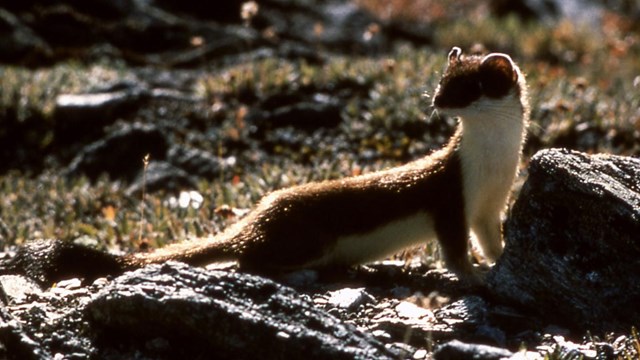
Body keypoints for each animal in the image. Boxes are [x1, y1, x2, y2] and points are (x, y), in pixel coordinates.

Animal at [122, 47, 528, 282]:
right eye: (443, 81)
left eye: (469, 87)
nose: (438, 101)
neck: (492, 168)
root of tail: (258, 214)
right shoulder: (449, 198)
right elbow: (455, 251)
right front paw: (474, 276)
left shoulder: (490, 206)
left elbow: (490, 241)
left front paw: (496, 261)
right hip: (305, 238)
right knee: (247, 255)